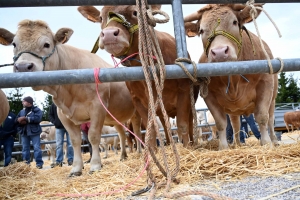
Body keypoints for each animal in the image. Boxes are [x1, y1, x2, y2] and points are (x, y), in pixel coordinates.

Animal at [0, 19, 142, 177]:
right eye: (14, 44)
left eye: (47, 44)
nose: (23, 67)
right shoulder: (64, 115)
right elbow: (75, 141)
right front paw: (76, 168)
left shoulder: (97, 107)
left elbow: (93, 136)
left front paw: (95, 165)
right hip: (115, 118)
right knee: (122, 134)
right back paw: (123, 155)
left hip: (137, 112)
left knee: (137, 132)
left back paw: (140, 152)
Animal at [77, 5, 199, 148]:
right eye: (101, 17)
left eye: (135, 12)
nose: (109, 34)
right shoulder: (138, 100)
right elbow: (150, 131)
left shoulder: (184, 92)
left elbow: (183, 125)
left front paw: (188, 147)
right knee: (165, 125)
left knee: (189, 124)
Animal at [184, 3, 278, 149]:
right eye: (201, 30)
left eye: (234, 22)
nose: (219, 52)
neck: (233, 79)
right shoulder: (209, 95)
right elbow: (221, 123)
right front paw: (223, 146)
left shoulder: (265, 84)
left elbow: (262, 117)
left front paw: (266, 143)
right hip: (234, 110)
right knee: (235, 124)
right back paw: (238, 144)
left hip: (273, 99)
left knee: (271, 118)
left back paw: (274, 140)